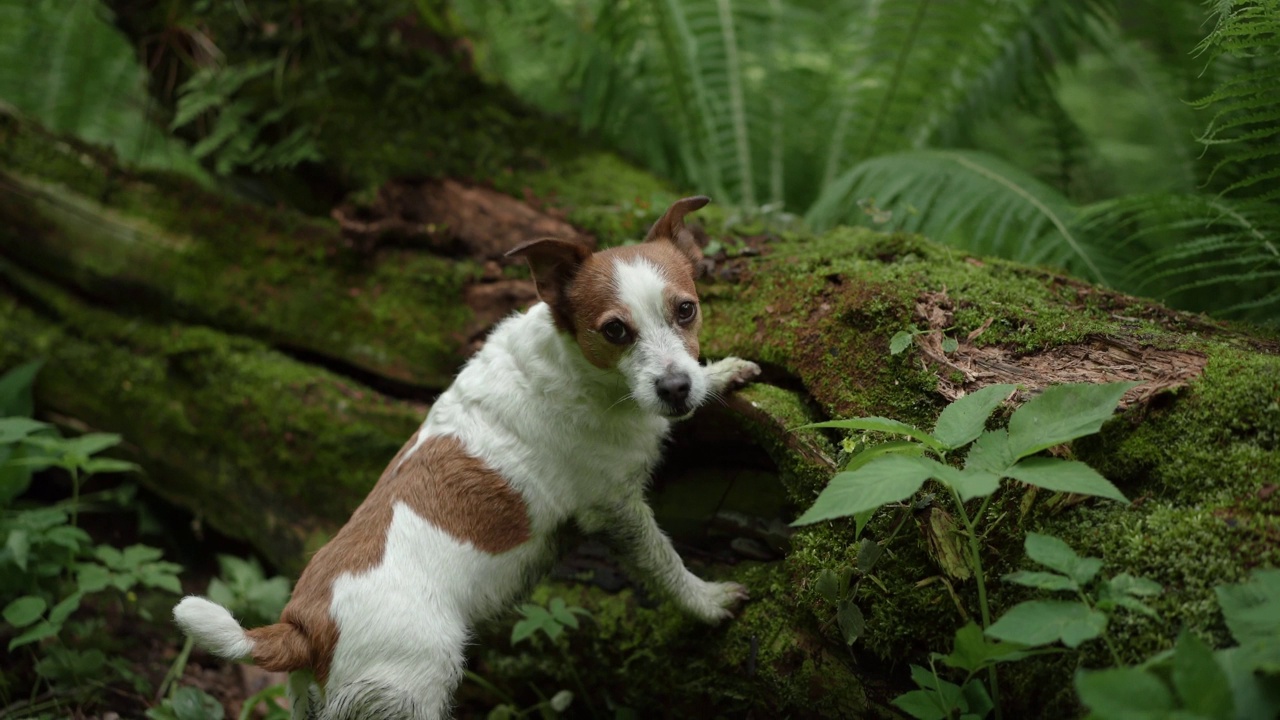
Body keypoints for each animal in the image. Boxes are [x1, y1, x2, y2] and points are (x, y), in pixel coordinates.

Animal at [175, 193, 762, 712]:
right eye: (615, 330)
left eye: (686, 310)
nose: (676, 389)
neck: (576, 369)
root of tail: (302, 626)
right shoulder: (617, 509)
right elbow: (666, 563)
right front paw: (708, 601)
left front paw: (718, 374)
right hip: (411, 690)